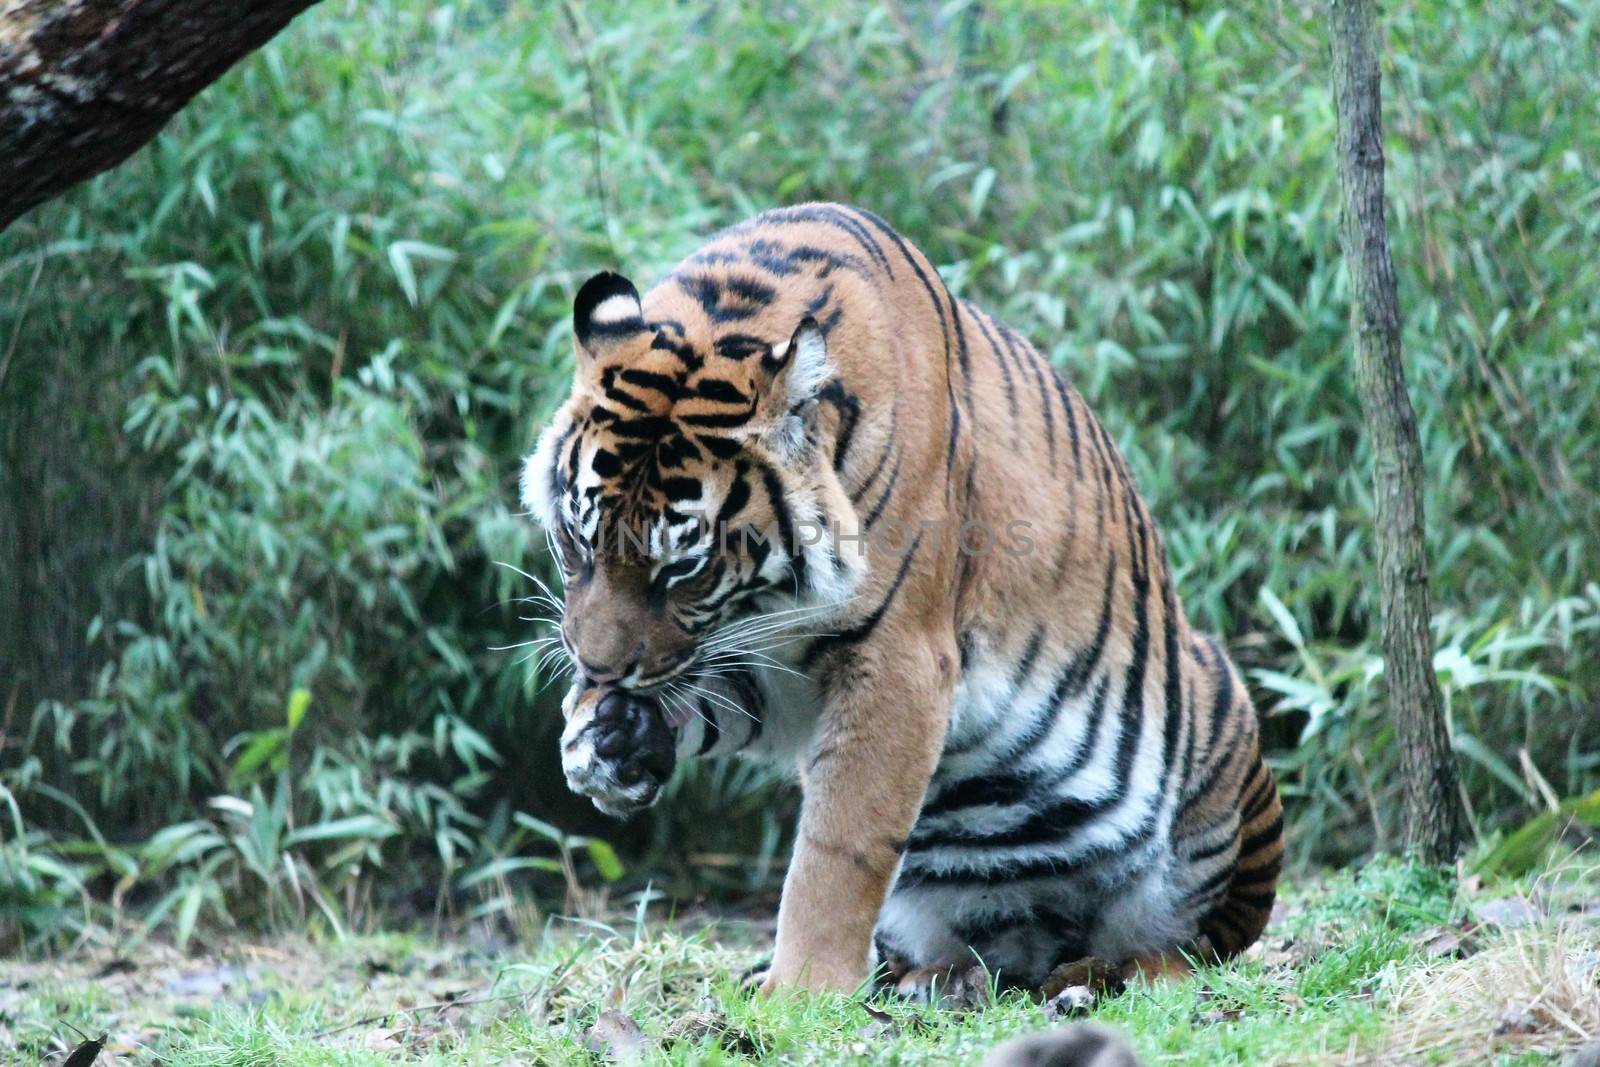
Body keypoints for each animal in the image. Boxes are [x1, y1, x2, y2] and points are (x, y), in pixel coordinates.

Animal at [524, 204, 1286, 998]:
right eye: (577, 541)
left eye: (683, 569)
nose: (598, 668)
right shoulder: (768, 670)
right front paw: (606, 741)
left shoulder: (898, 657)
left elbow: (839, 848)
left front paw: (799, 993)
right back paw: (939, 980)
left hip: (1219, 731)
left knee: (1204, 945)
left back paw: (1103, 976)